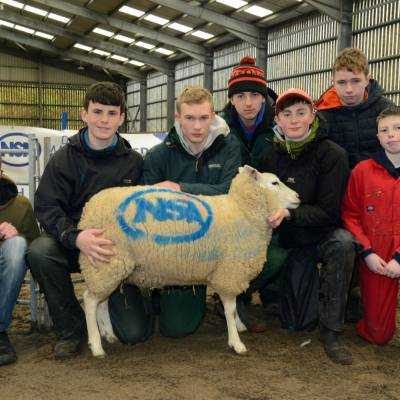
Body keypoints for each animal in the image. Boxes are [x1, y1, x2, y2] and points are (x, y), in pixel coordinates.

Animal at [79, 164, 300, 358]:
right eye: (274, 182)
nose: (298, 197)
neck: (243, 211)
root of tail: (90, 209)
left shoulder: (229, 273)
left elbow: (234, 306)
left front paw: (239, 327)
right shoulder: (228, 272)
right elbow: (230, 309)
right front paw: (236, 343)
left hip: (107, 266)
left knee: (101, 301)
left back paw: (108, 334)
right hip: (107, 262)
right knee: (90, 301)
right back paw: (96, 346)